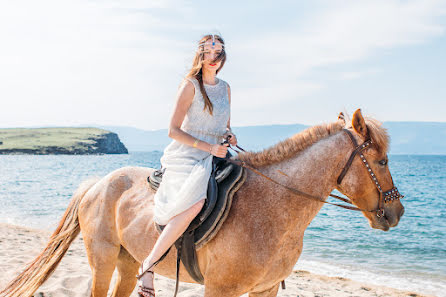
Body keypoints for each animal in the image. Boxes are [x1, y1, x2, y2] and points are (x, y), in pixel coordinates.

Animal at [0, 108, 404, 296]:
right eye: (383, 161)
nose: (396, 211)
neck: (272, 208)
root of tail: (97, 185)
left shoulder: (266, 289)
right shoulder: (220, 289)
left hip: (128, 263)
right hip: (102, 261)